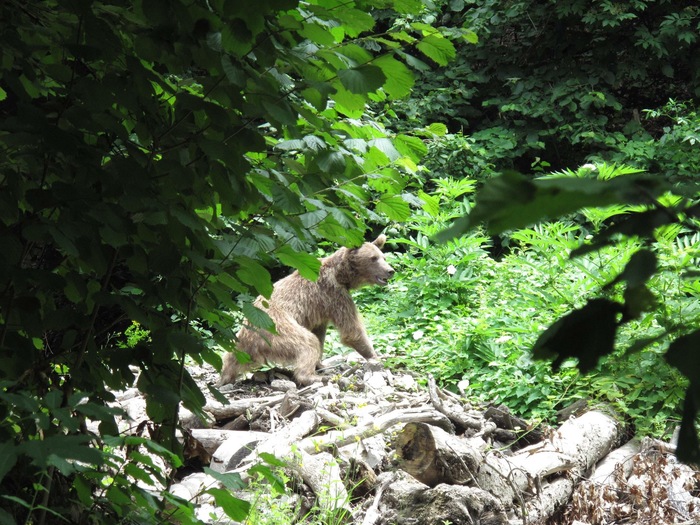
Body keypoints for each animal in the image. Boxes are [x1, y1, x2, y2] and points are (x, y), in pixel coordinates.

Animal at [219, 233, 394, 384]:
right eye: (373, 258)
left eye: (383, 257)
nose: (390, 270)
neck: (341, 275)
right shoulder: (334, 295)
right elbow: (352, 331)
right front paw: (376, 357)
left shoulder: (320, 310)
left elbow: (320, 333)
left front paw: (320, 363)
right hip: (276, 330)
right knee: (307, 343)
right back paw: (313, 377)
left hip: (242, 341)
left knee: (230, 355)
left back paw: (225, 376)